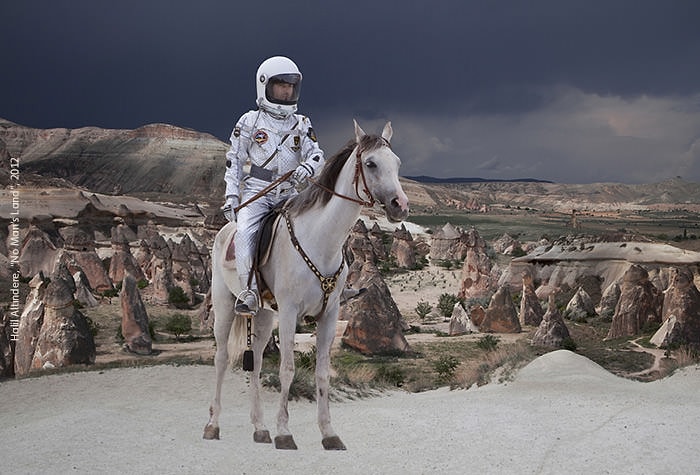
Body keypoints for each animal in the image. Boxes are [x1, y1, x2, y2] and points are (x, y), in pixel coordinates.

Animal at [202, 121, 410, 452]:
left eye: (398, 163)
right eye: (371, 163)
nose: (400, 205)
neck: (321, 240)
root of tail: (225, 231)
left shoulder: (328, 315)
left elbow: (322, 373)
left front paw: (328, 433)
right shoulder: (289, 313)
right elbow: (287, 369)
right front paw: (284, 433)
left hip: (263, 314)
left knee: (255, 362)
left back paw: (260, 428)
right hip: (225, 306)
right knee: (221, 358)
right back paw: (213, 424)